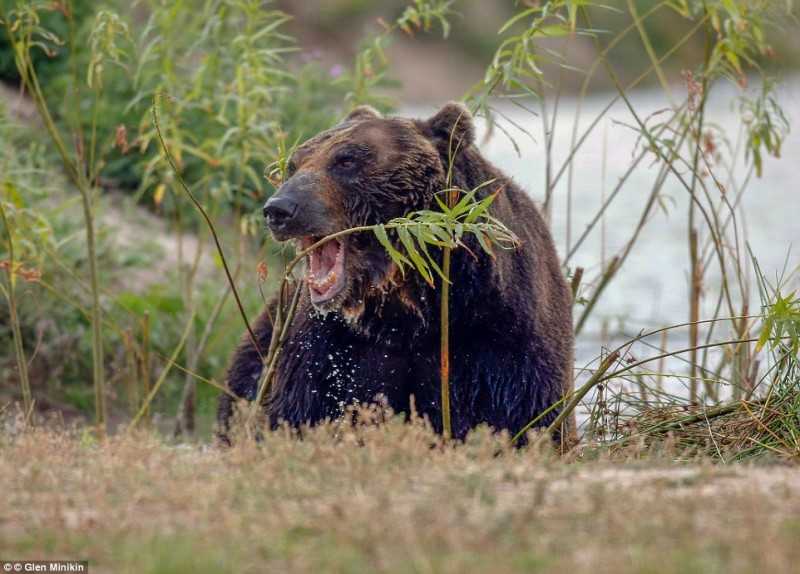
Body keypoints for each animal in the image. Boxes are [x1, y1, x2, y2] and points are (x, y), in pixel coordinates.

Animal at [219, 102, 576, 446]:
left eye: (346, 159)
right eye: (294, 164)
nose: (279, 209)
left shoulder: (498, 339)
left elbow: (521, 418)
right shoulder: (333, 353)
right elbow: (302, 413)